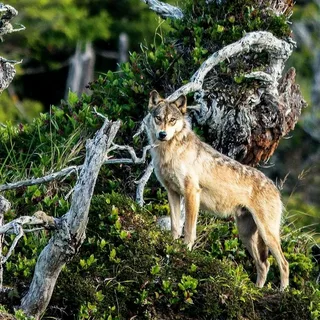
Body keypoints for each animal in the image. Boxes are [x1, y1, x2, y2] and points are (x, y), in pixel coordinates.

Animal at [146, 89, 288, 290]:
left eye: (172, 120)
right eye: (158, 118)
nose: (162, 134)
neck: (169, 152)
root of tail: (275, 188)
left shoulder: (191, 194)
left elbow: (189, 231)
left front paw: (185, 251)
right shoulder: (172, 193)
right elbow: (175, 227)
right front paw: (172, 247)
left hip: (267, 234)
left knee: (284, 264)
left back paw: (282, 291)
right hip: (246, 234)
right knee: (264, 264)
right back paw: (257, 289)